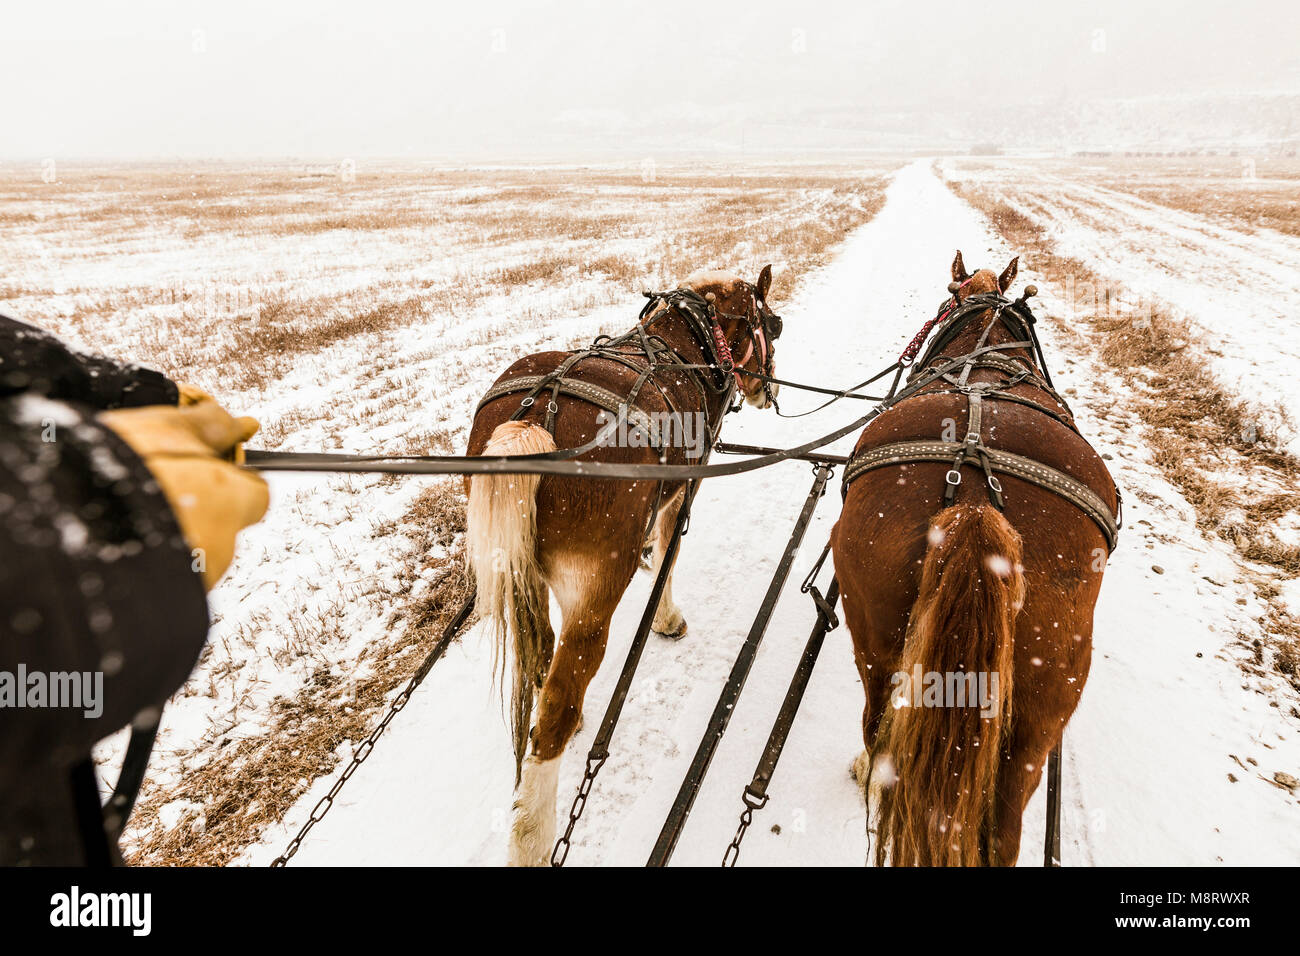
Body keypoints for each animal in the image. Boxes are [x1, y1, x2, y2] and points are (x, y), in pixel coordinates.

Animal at [465, 267, 774, 868]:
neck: (690, 344)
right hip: (594, 594)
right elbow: (667, 557)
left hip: (524, 576)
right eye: (772, 324)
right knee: (558, 706)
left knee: (542, 656)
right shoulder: (683, 490)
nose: (767, 389)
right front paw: (667, 619)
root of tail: (534, 424)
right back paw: (534, 837)